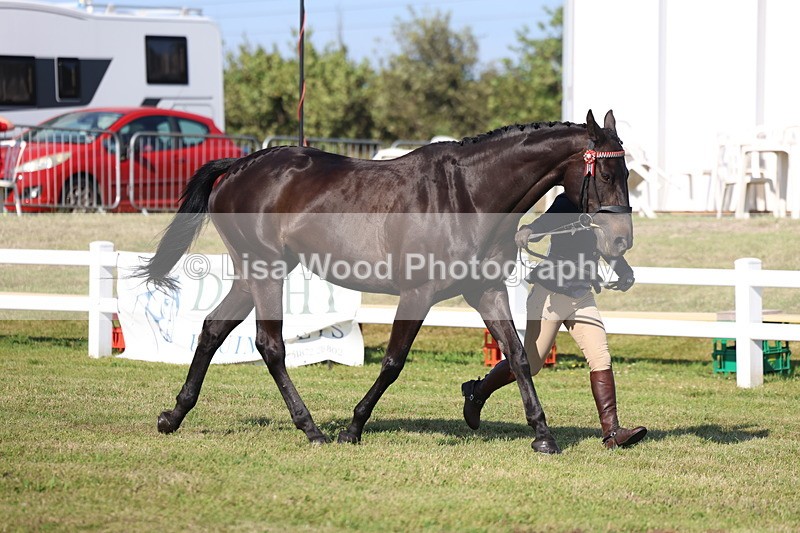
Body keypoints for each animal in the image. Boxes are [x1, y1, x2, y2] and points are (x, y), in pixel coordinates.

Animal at [137, 109, 632, 454]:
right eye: (607, 173)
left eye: (629, 173)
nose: (621, 240)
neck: (469, 195)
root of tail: (238, 166)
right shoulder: (417, 294)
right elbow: (393, 362)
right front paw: (353, 428)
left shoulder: (486, 291)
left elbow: (518, 357)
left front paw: (542, 434)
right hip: (265, 271)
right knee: (269, 345)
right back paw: (311, 429)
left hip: (251, 273)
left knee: (213, 329)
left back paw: (174, 415)